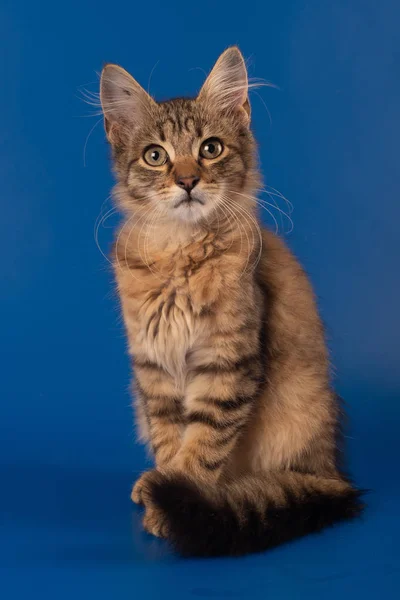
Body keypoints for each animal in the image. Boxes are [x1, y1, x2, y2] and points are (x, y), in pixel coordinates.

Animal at [98, 47, 364, 556]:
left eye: (211, 149)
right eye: (155, 156)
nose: (186, 181)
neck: (180, 253)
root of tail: (333, 472)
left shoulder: (227, 360)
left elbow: (202, 444)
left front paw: (174, 502)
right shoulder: (153, 366)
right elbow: (170, 437)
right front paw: (162, 488)